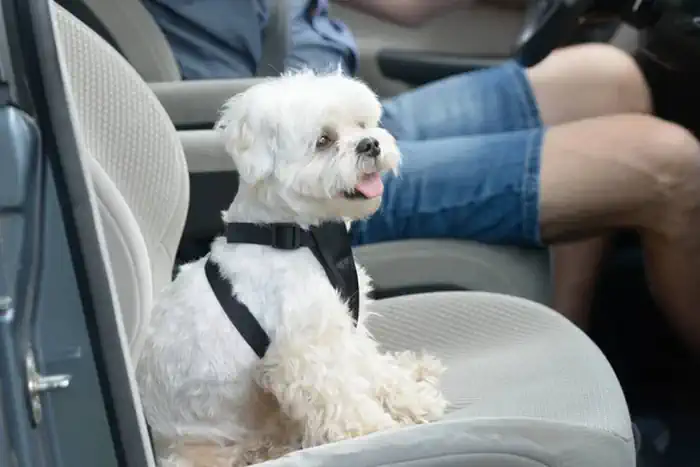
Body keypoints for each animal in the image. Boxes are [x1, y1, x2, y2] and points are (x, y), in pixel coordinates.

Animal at [134, 71, 446, 467]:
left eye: (362, 125)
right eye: (324, 140)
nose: (371, 144)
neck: (297, 235)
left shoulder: (344, 329)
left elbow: (373, 371)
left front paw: (410, 398)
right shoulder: (304, 351)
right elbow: (340, 394)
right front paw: (373, 428)